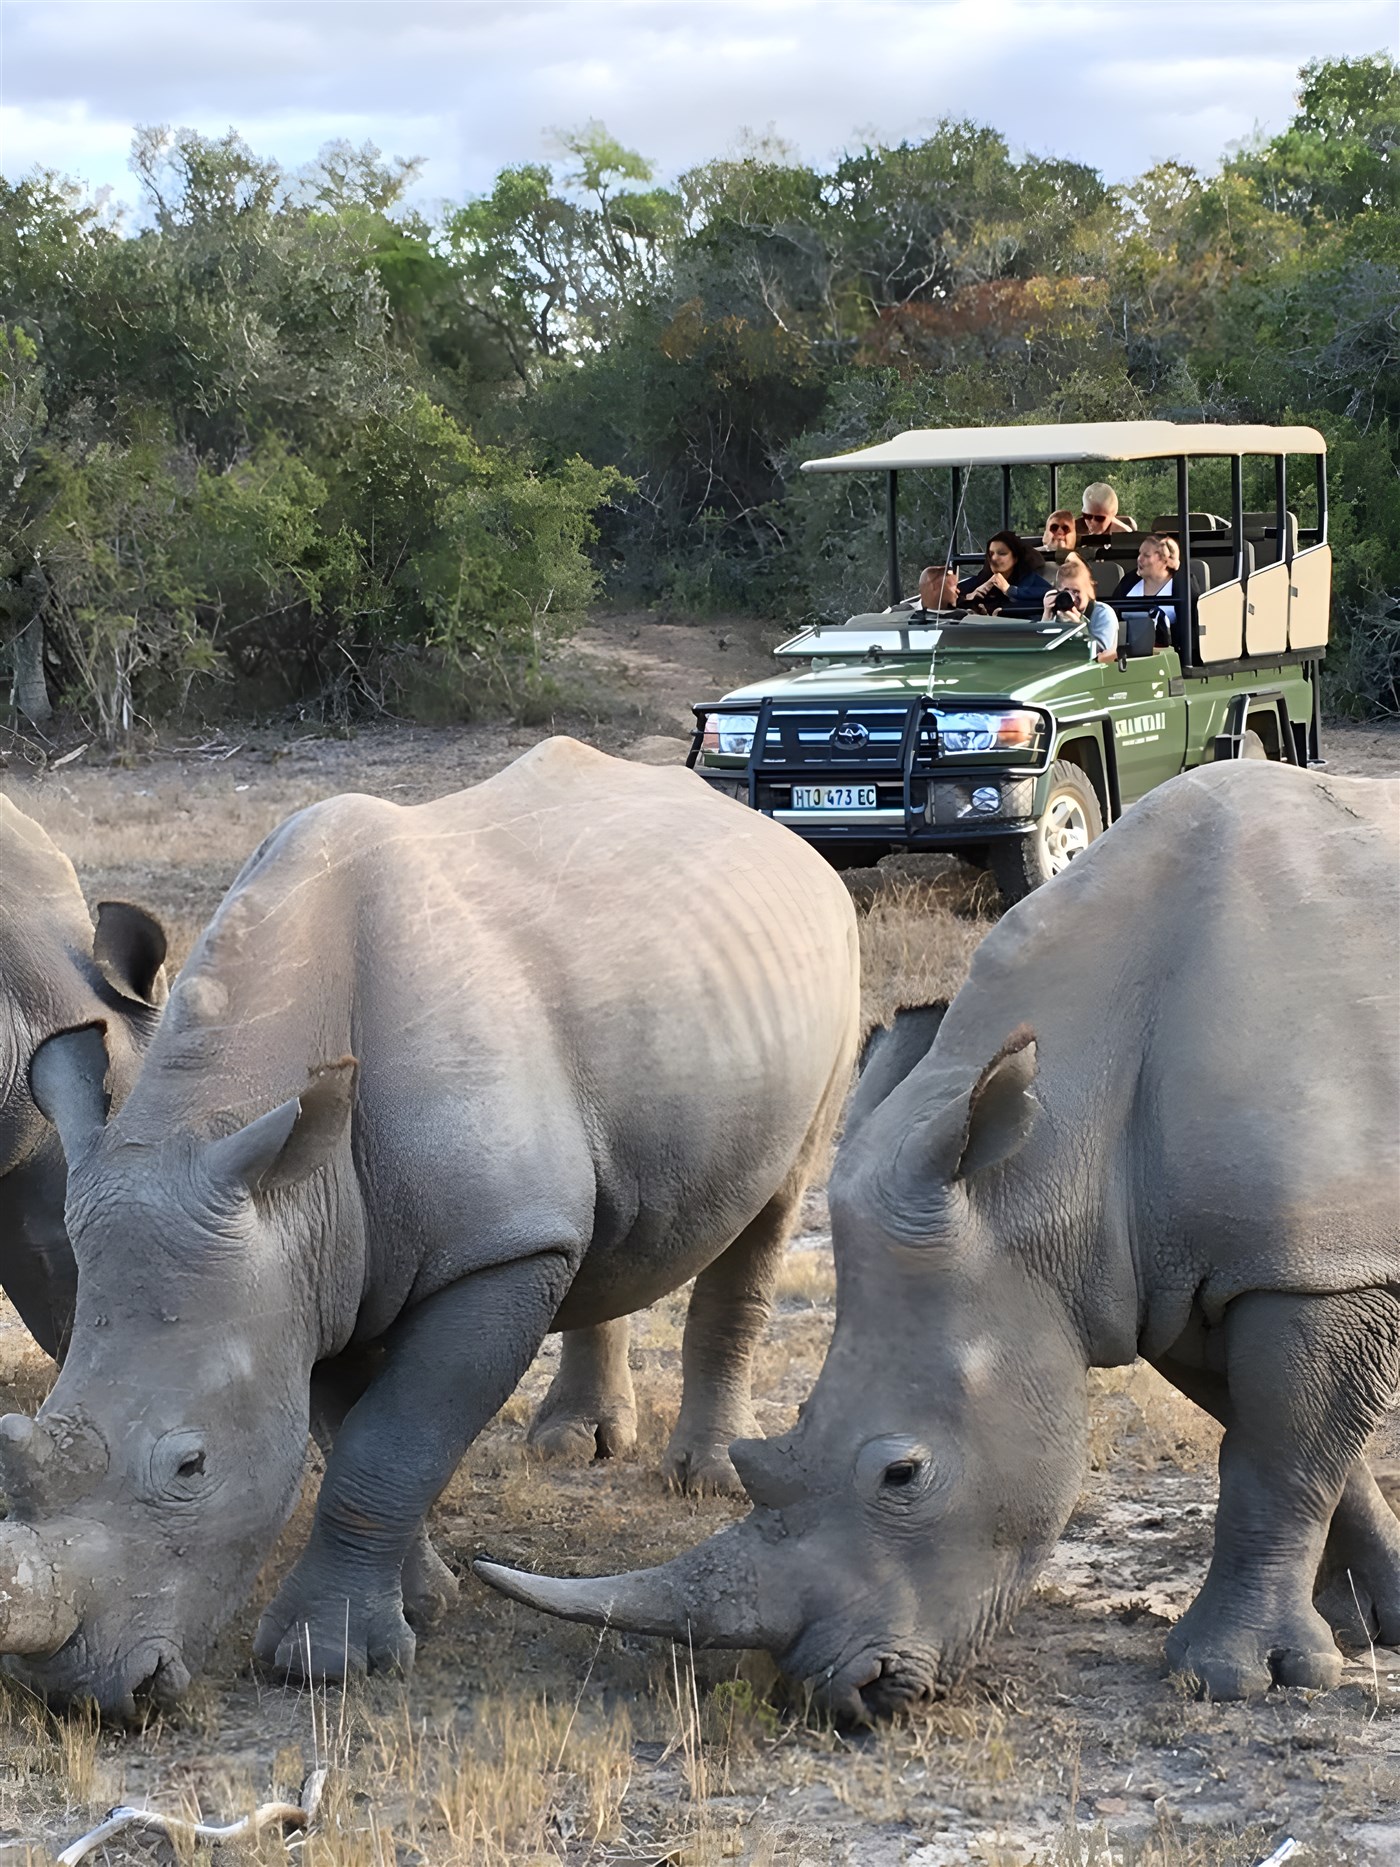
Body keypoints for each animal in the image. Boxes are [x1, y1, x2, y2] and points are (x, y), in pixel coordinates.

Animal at [480, 762, 1400, 1714]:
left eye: (903, 1473)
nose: (840, 1694)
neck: (1053, 1155)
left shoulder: (1309, 1264)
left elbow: (1279, 1455)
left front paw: (1227, 1676)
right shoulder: (1182, 1268)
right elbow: (1298, 1441)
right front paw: (1371, 1618)